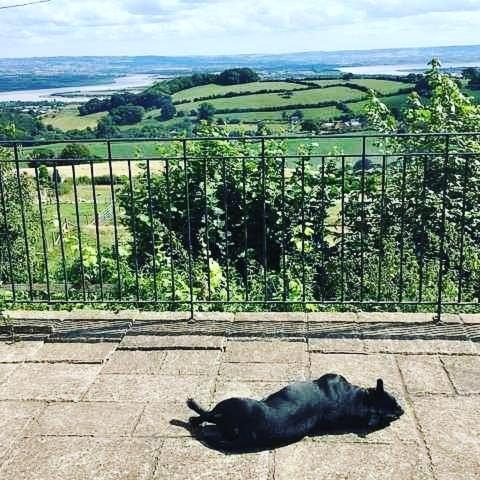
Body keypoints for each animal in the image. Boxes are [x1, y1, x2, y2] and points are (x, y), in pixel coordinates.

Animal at [186, 374, 404, 448]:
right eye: (394, 403)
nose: (402, 411)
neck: (359, 401)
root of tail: (247, 434)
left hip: (233, 403)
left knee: (206, 416)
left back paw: (192, 408)